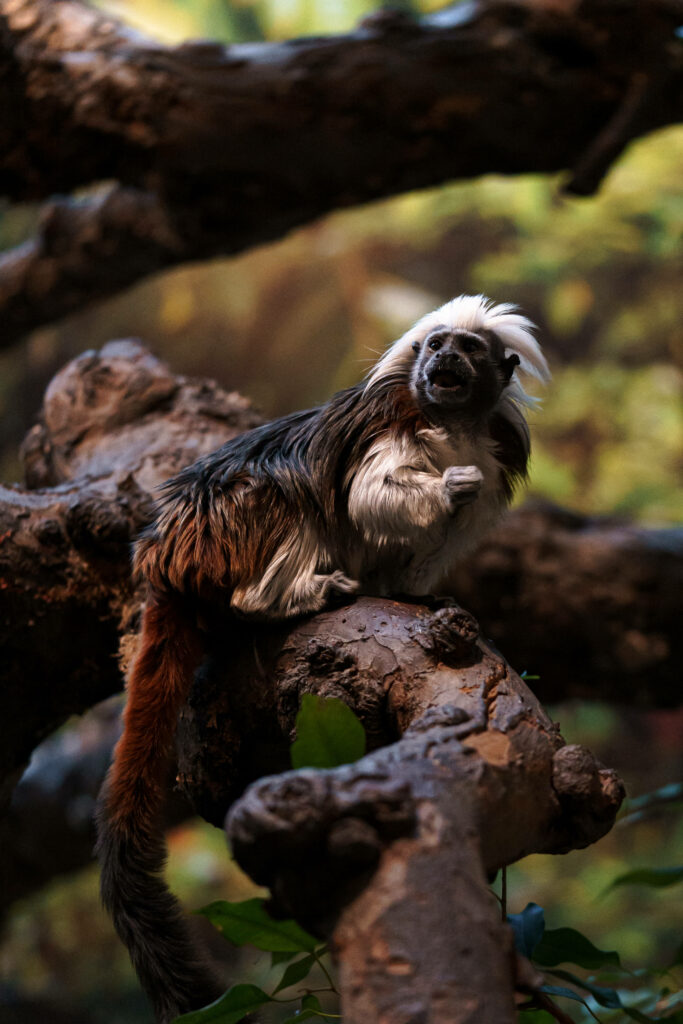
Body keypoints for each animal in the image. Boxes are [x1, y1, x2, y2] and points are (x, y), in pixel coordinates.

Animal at [96, 294, 549, 1023]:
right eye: (435, 346)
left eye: (467, 352)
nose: (443, 361)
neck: (455, 427)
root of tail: (164, 555)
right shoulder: (395, 426)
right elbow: (373, 497)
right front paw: (443, 489)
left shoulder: (492, 454)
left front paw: (415, 592)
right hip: (225, 531)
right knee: (288, 493)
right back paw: (287, 597)